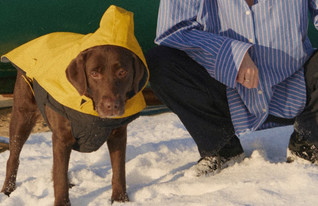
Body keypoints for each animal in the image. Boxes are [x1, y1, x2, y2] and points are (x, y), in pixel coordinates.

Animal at [0, 45, 147, 204]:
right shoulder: (62, 138)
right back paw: (8, 190)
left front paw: (120, 200)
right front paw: (62, 203)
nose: (112, 106)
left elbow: (119, 170)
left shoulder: (118, 134)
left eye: (122, 72)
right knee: (13, 157)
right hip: (23, 116)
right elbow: (60, 176)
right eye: (94, 73)